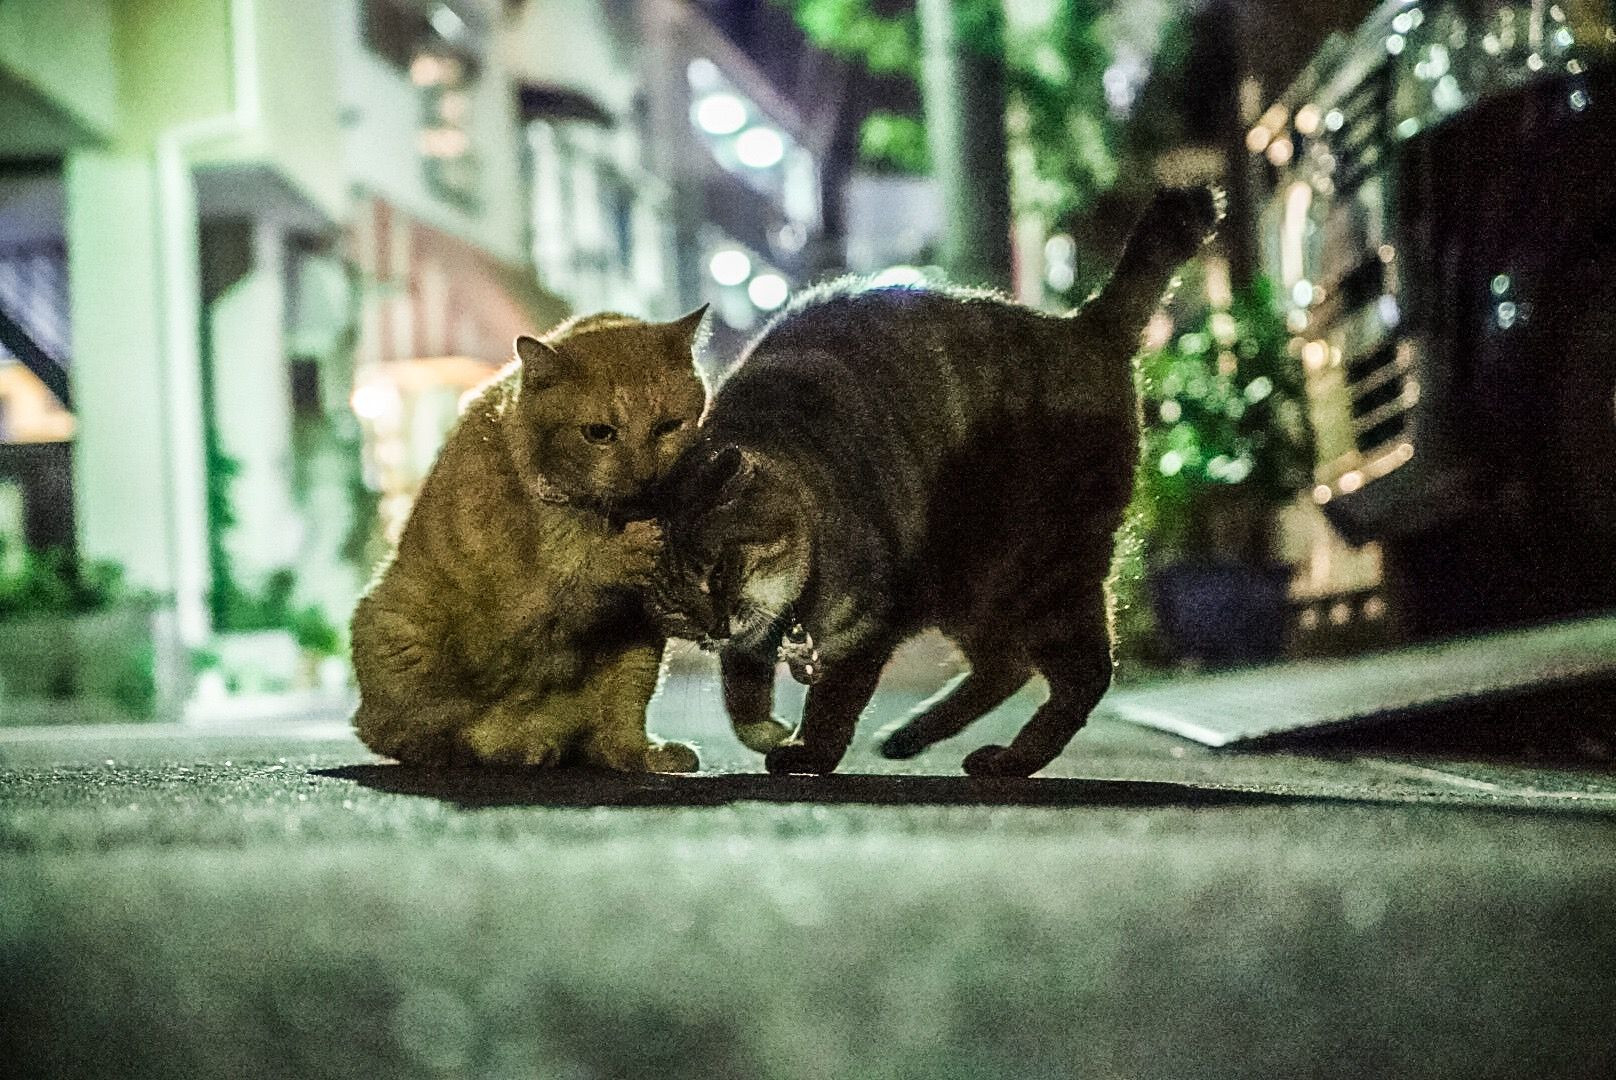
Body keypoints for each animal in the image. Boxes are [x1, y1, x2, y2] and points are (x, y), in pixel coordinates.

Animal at [350, 308, 711, 771]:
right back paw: (504, 748)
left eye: (668, 427)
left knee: (603, 735)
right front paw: (627, 548)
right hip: (391, 620)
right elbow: (581, 576)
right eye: (599, 433)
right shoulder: (529, 602)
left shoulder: (637, 627)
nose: (646, 475)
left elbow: (623, 710)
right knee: (424, 734)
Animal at [648, 187, 1221, 777]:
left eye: (718, 568)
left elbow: (833, 702)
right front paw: (769, 730)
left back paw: (1009, 760)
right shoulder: (754, 646)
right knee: (1008, 665)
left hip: (1043, 571)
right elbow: (740, 699)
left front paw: (808, 751)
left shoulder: (865, 630)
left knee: (1085, 673)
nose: (714, 628)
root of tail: (1083, 323)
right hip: (976, 587)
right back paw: (912, 735)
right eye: (674, 603)